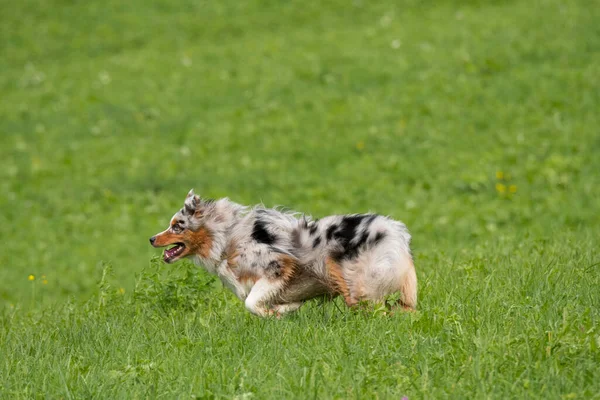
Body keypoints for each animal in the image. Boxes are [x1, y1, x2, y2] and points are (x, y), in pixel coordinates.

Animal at [149, 189, 418, 318]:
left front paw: (273, 315)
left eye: (177, 226)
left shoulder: (276, 268)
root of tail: (396, 233)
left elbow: (250, 303)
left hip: (358, 286)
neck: (227, 236)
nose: (151, 239)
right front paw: (284, 310)